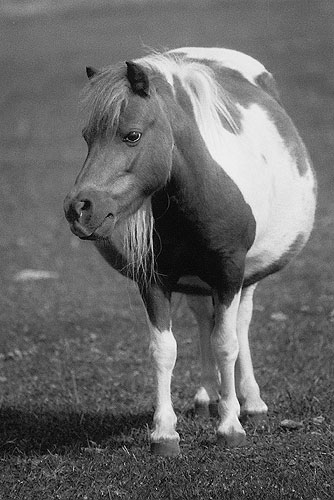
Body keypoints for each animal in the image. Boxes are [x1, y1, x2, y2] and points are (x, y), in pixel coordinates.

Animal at [64, 47, 318, 458]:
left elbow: (227, 344)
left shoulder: (229, 273)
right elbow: (164, 349)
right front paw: (164, 433)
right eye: (88, 137)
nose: (79, 209)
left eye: (132, 135)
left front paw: (230, 426)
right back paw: (206, 398)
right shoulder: (154, 280)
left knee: (239, 325)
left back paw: (250, 404)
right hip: (198, 281)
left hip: (244, 278)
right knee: (204, 320)